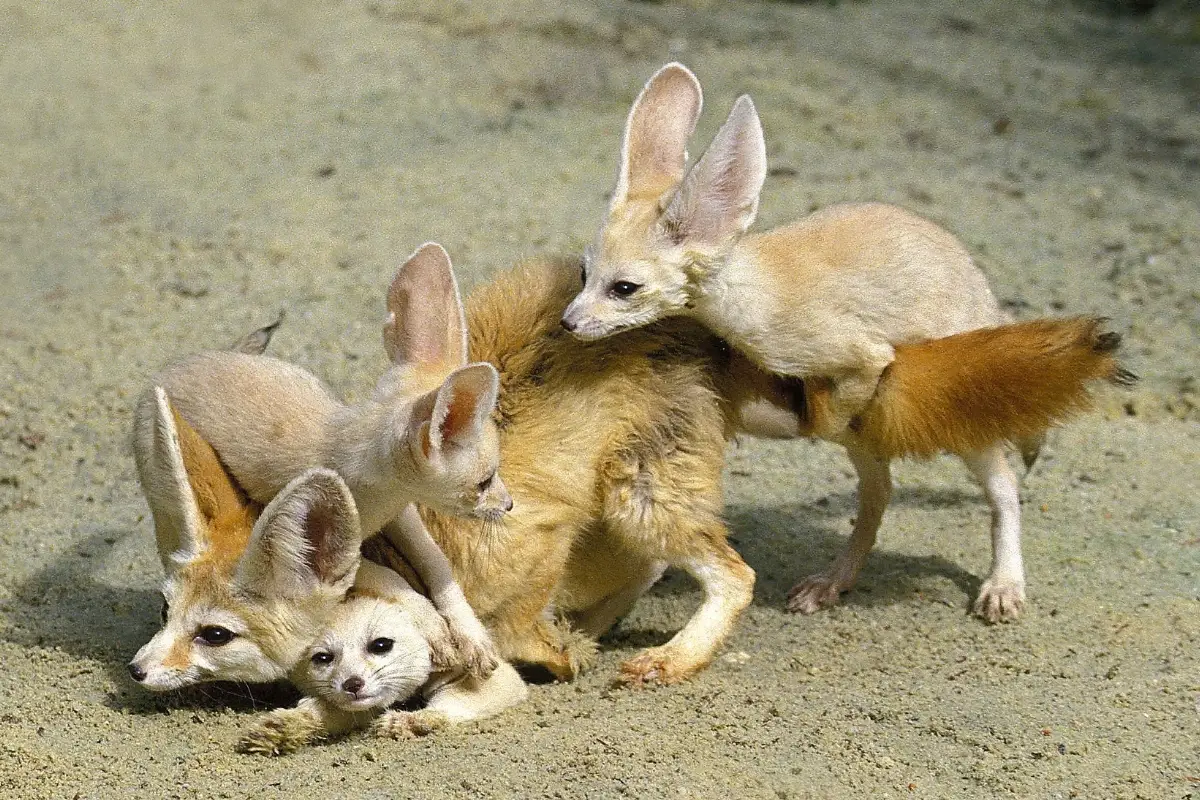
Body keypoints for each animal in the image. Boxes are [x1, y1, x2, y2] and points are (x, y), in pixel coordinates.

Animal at [130, 388, 525, 753]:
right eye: (165, 610)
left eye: (215, 635)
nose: (135, 670)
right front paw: (290, 726)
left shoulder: (496, 679)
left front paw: (414, 718)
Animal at [136, 242, 511, 676]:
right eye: (484, 483)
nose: (509, 505)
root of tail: (176, 363)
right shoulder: (325, 549)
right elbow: (388, 577)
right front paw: (433, 626)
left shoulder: (400, 512)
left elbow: (437, 562)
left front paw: (469, 632)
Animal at [561, 62, 1132, 623]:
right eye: (585, 275)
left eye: (624, 289)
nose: (567, 323)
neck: (750, 291)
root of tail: (985, 298)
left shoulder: (859, 354)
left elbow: (840, 403)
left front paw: (815, 417)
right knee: (879, 499)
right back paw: (832, 581)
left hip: (964, 419)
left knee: (1004, 489)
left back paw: (1004, 584)